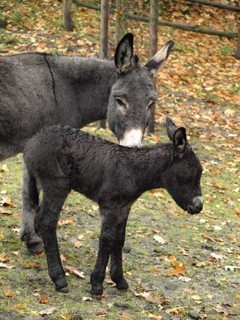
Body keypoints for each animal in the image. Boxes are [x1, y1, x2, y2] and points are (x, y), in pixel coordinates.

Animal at [23, 117, 202, 296]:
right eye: (193, 172)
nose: (199, 207)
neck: (134, 171)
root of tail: (32, 143)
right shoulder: (110, 206)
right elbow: (107, 239)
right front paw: (97, 284)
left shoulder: (124, 208)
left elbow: (119, 239)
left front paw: (119, 280)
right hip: (57, 185)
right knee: (47, 222)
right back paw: (59, 278)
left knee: (37, 217)